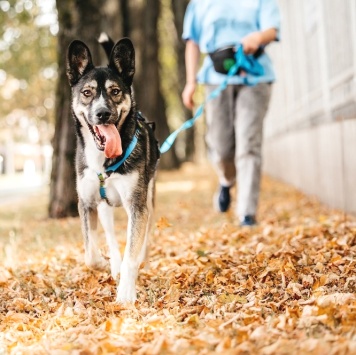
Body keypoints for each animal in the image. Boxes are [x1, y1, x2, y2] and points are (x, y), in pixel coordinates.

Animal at [66, 37, 160, 304]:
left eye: (115, 91)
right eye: (87, 92)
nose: (103, 113)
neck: (104, 161)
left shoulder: (137, 205)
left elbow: (132, 252)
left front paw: (126, 292)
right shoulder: (86, 203)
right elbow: (90, 254)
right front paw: (105, 264)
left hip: (149, 197)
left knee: (143, 236)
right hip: (104, 207)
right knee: (109, 235)